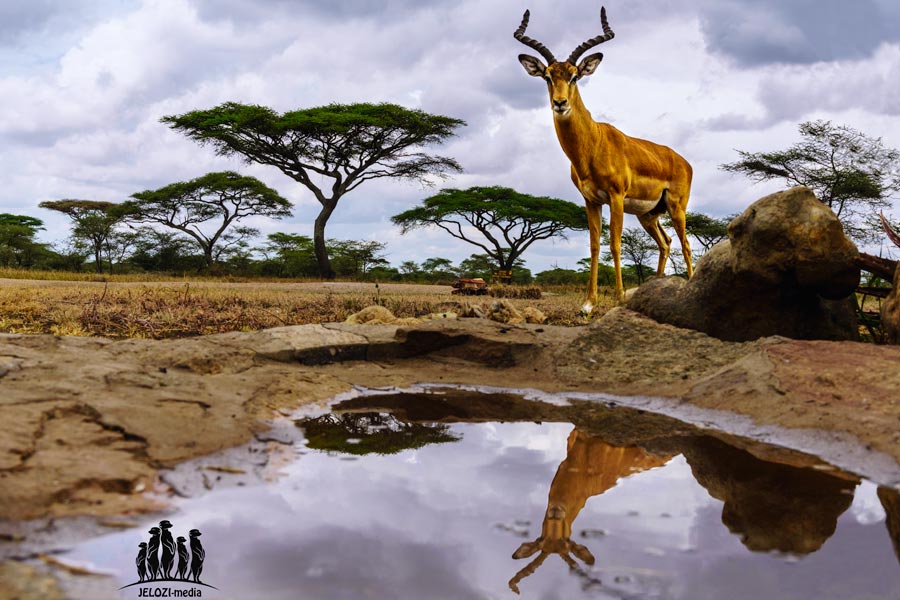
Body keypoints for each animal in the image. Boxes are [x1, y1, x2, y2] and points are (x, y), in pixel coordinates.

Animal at [515, 7, 694, 309]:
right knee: (666, 242)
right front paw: (589, 302)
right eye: (548, 76)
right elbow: (595, 245)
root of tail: (684, 161)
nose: (560, 103)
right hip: (648, 215)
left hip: (676, 207)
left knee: (686, 244)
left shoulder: (616, 197)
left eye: (575, 76)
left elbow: (615, 244)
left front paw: (619, 297)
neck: (592, 146)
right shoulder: (591, 200)